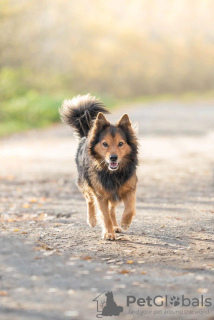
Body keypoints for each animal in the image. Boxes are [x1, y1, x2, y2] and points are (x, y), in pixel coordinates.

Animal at [59, 94, 138, 240]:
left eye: (120, 144)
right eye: (105, 144)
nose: (113, 158)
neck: (113, 173)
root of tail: (86, 135)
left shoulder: (130, 188)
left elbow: (130, 208)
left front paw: (125, 222)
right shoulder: (100, 194)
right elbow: (104, 215)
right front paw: (108, 232)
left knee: (112, 209)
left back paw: (116, 226)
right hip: (85, 182)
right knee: (89, 200)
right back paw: (92, 220)